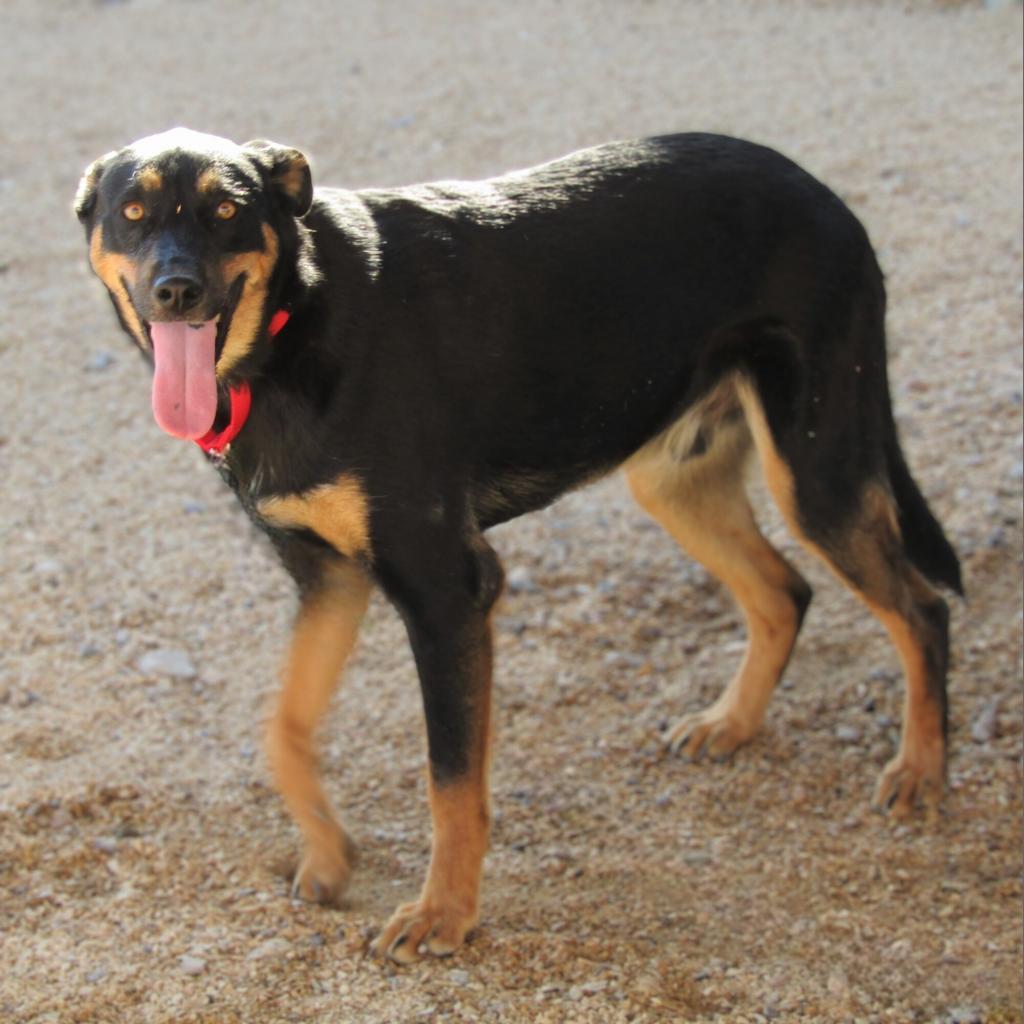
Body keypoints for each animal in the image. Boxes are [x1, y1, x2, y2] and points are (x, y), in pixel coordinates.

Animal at [77, 125, 958, 958]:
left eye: (228, 210)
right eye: (134, 211)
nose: (177, 290)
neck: (296, 326)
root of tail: (819, 192)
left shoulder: (446, 592)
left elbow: (451, 782)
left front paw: (444, 915)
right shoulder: (330, 579)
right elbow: (284, 732)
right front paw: (329, 855)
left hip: (817, 474)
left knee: (921, 608)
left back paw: (920, 767)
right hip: (676, 480)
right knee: (785, 590)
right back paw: (732, 724)